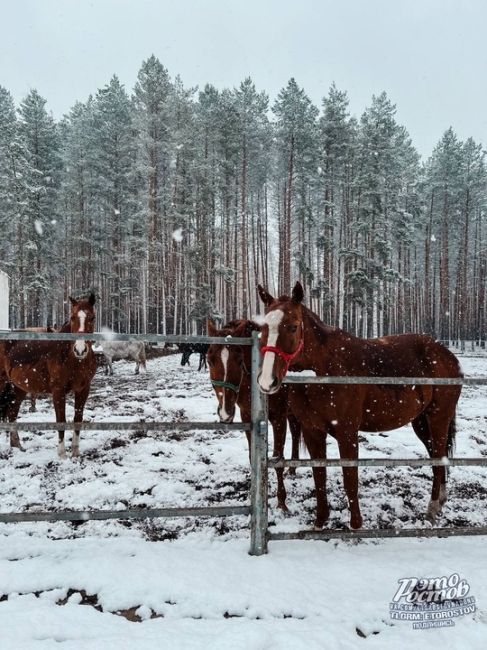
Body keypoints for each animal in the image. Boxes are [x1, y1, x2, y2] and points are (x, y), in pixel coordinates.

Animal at [0, 294, 98, 456]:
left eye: (92, 317)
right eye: (72, 317)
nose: (80, 350)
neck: (72, 359)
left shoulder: (84, 389)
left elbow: (78, 419)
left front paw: (75, 453)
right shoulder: (58, 391)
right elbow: (61, 420)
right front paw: (62, 455)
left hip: (19, 387)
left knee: (13, 412)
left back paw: (17, 447)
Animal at [206, 318, 302, 512]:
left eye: (239, 359)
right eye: (209, 360)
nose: (225, 412)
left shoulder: (278, 419)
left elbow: (278, 460)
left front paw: (282, 502)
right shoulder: (247, 418)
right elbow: (253, 458)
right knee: (296, 433)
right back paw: (293, 468)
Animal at [258, 280, 464, 528]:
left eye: (293, 327)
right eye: (262, 328)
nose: (268, 381)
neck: (324, 371)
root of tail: (448, 355)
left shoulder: (347, 431)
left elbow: (350, 479)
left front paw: (355, 525)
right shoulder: (312, 430)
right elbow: (319, 475)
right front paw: (320, 521)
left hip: (438, 418)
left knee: (438, 456)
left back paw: (432, 508)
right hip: (421, 423)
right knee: (437, 455)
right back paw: (440, 500)